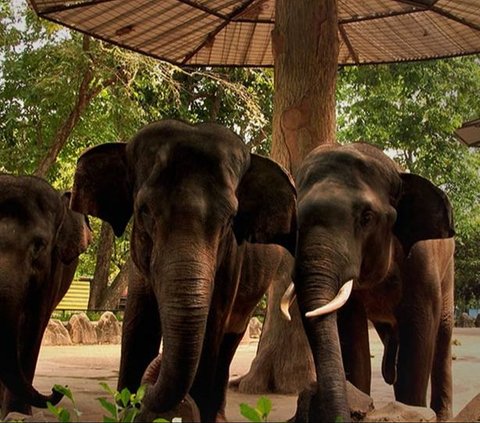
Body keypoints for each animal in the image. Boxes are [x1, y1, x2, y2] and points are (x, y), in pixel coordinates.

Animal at [70, 118, 296, 420]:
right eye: (144, 210)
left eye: (231, 219)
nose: (144, 396)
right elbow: (139, 329)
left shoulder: (231, 263)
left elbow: (210, 333)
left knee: (229, 343)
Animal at [284, 143, 456, 423]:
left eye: (367, 218)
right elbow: (351, 334)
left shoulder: (421, 264)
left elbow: (419, 332)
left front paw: (412, 410)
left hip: (448, 270)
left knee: (442, 334)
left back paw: (441, 414)